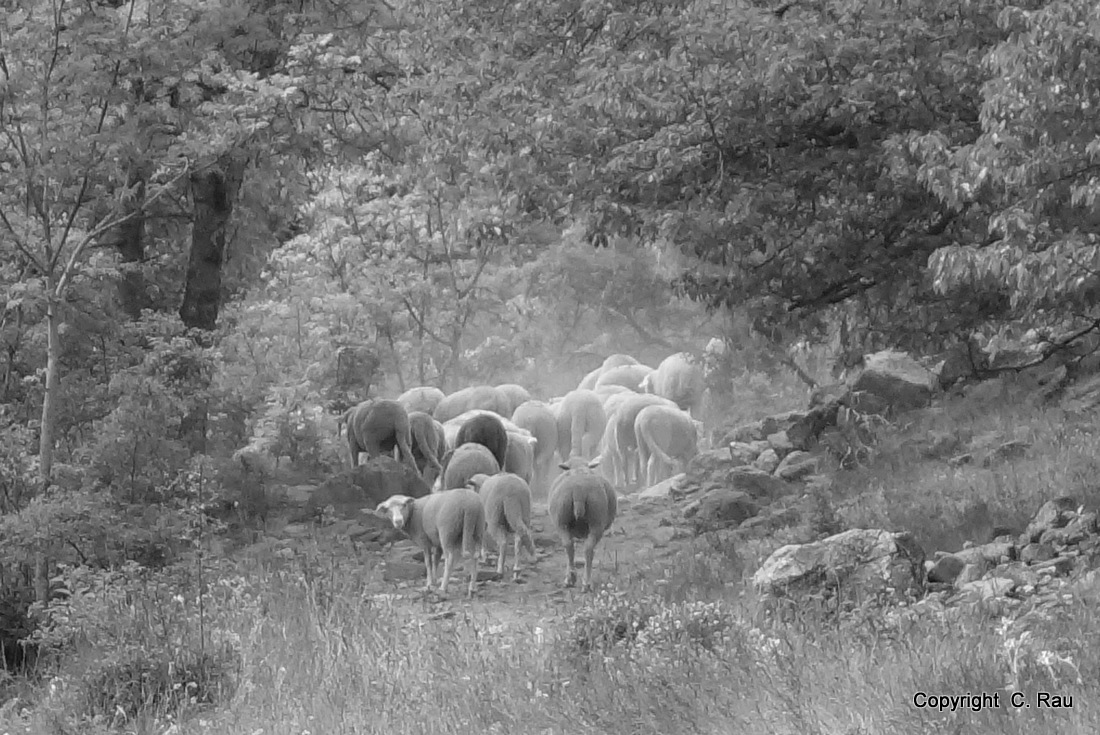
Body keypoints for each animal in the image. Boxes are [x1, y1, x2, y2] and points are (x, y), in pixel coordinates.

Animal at [550, 455, 620, 589]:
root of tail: (579, 489)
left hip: (561, 522)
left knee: (569, 545)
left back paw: (572, 578)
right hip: (596, 522)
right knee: (586, 548)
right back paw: (585, 582)